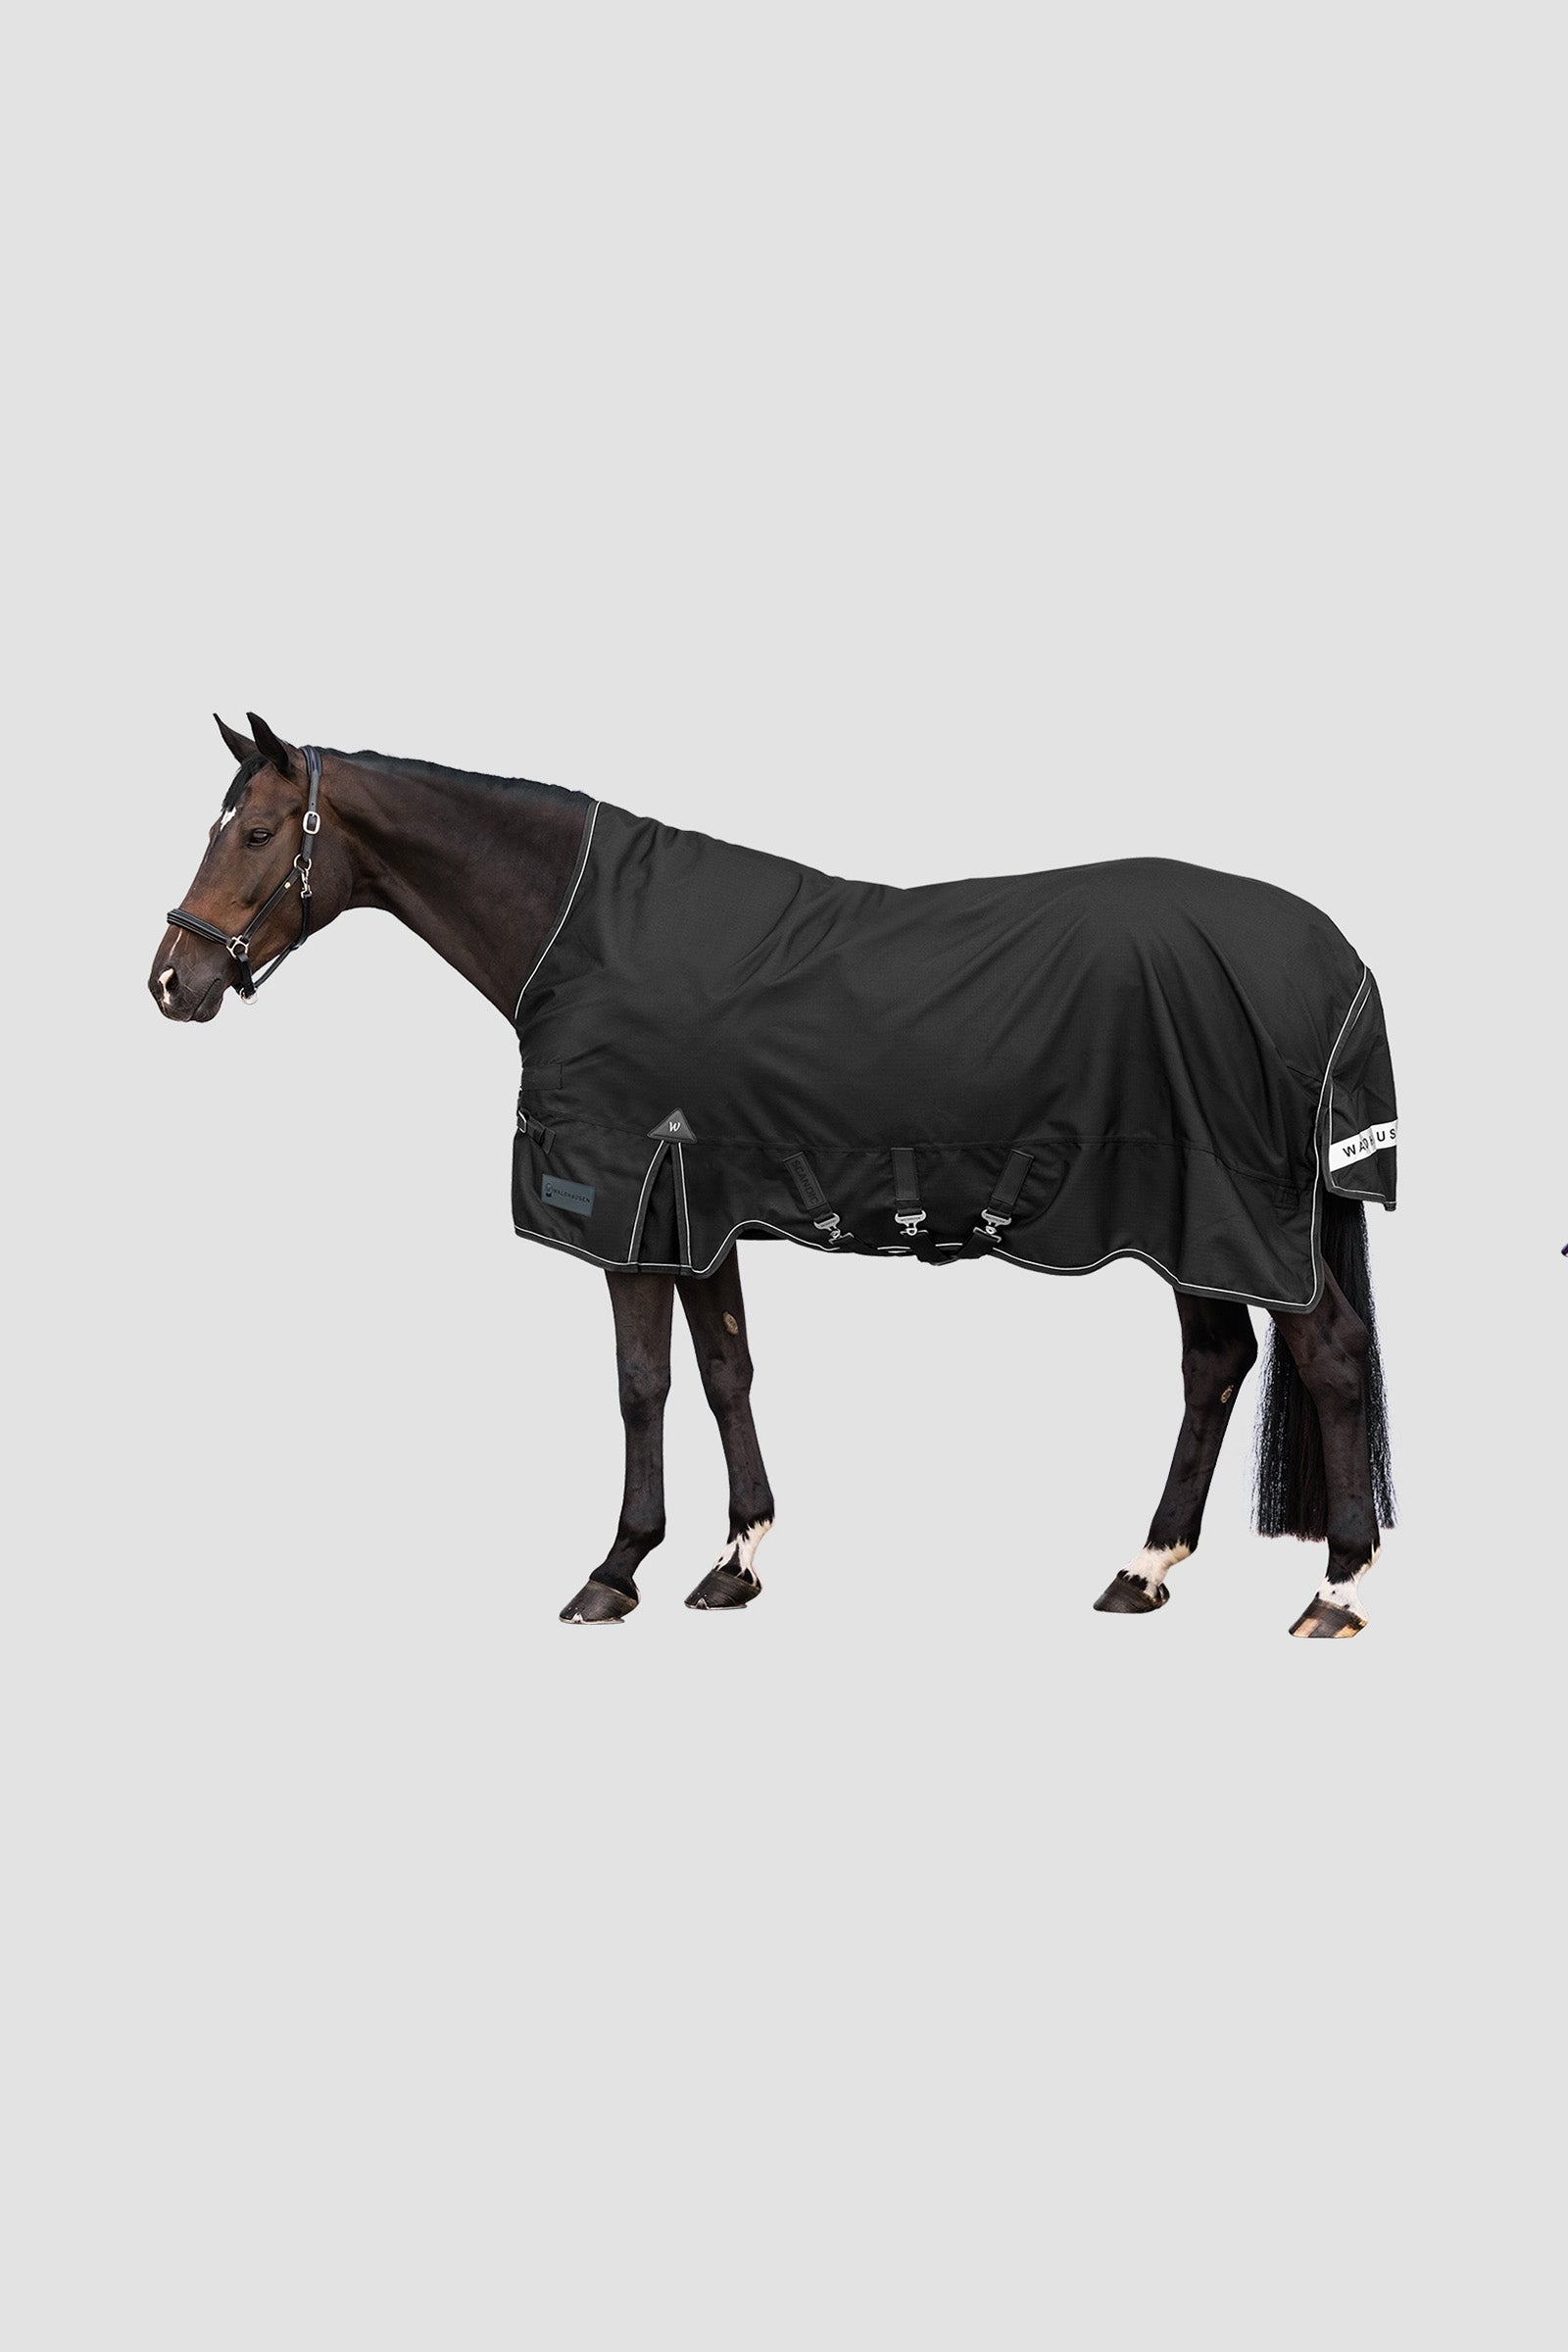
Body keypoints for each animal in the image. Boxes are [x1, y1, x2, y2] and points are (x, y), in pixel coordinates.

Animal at [150, 713, 1396, 1639]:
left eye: (254, 832)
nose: (171, 981)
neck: (585, 936)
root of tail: (1334, 961)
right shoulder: (698, 1210)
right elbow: (725, 1373)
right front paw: (733, 1559)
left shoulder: (628, 1211)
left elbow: (641, 1384)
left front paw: (615, 1570)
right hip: (1193, 1225)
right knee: (1217, 1364)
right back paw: (1143, 1570)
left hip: (1234, 1215)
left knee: (1328, 1356)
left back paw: (1333, 1590)